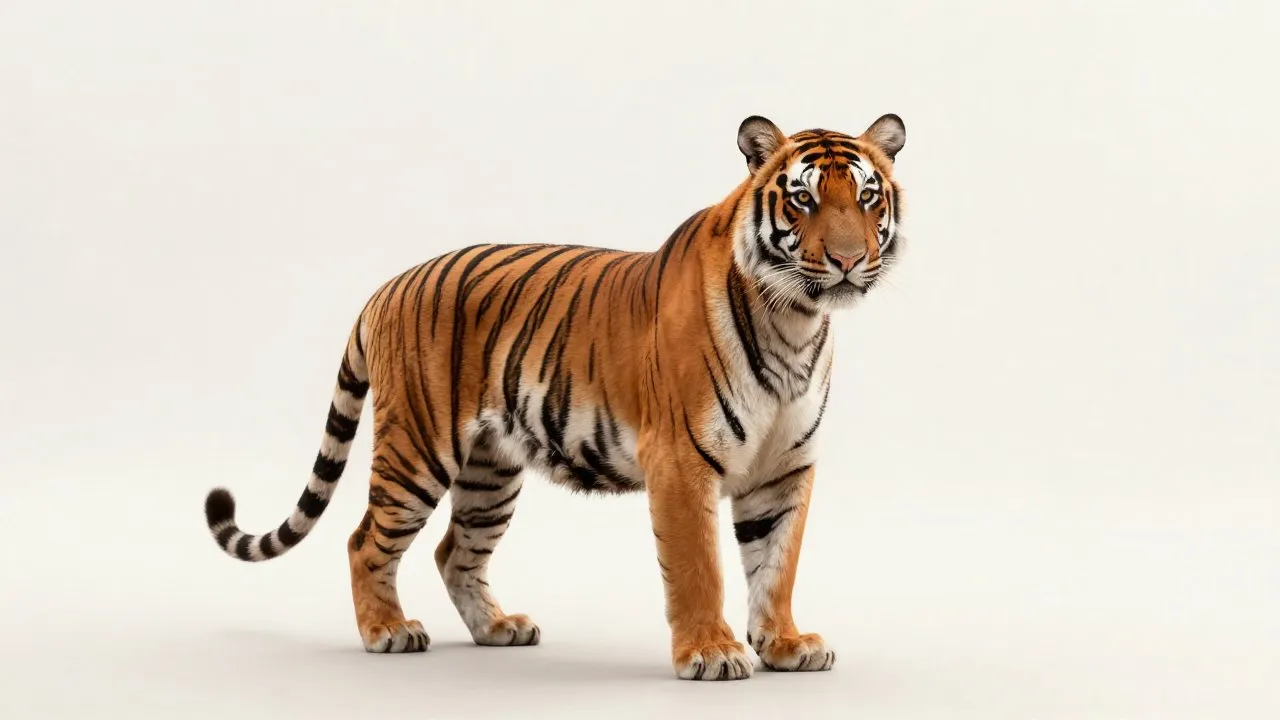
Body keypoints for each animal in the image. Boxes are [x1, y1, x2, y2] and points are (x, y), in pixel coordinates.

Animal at [204, 112, 907, 681]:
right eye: (803, 199)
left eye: (867, 198)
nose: (848, 260)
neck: (795, 322)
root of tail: (385, 287)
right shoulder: (681, 461)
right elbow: (698, 566)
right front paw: (710, 652)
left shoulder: (785, 467)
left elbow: (776, 564)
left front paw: (785, 644)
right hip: (416, 451)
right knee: (364, 540)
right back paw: (388, 631)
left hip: (490, 472)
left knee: (454, 550)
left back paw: (497, 628)